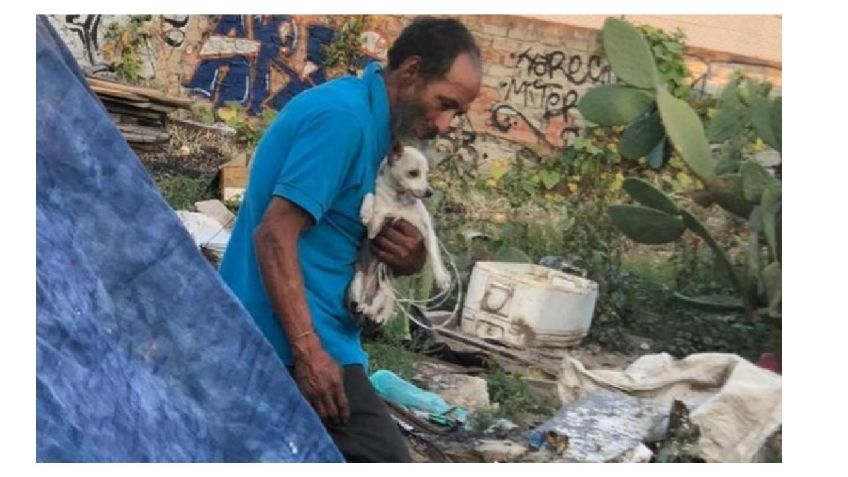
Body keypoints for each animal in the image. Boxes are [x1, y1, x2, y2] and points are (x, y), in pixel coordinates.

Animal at [346, 143, 450, 326]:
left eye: (427, 174)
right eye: (413, 173)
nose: (429, 192)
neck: (398, 198)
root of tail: (368, 294)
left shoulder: (426, 230)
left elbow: (434, 253)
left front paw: (441, 277)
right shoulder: (374, 230)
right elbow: (371, 199)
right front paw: (366, 212)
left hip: (385, 290)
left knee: (374, 307)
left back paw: (374, 313)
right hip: (357, 281)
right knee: (358, 304)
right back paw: (362, 308)